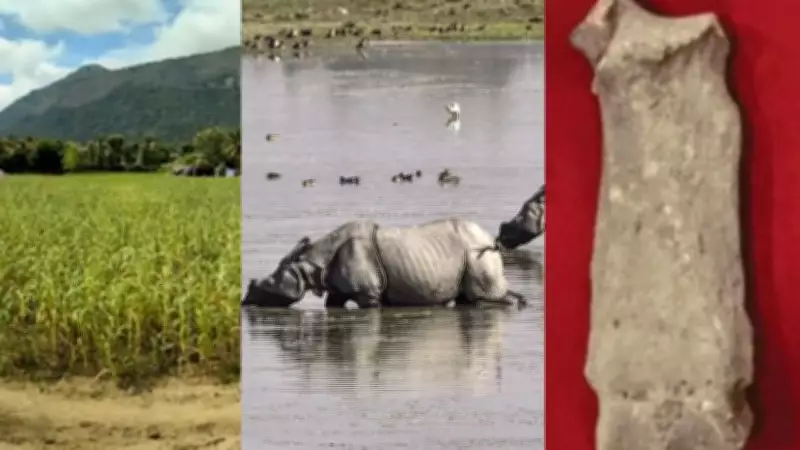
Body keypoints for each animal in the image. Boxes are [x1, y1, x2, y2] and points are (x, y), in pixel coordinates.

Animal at [242, 218, 526, 309]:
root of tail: (490, 239)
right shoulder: (338, 289)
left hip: (477, 254)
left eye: (267, 284)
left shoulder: (367, 294)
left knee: (482, 298)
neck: (311, 262)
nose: (246, 301)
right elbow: (331, 304)